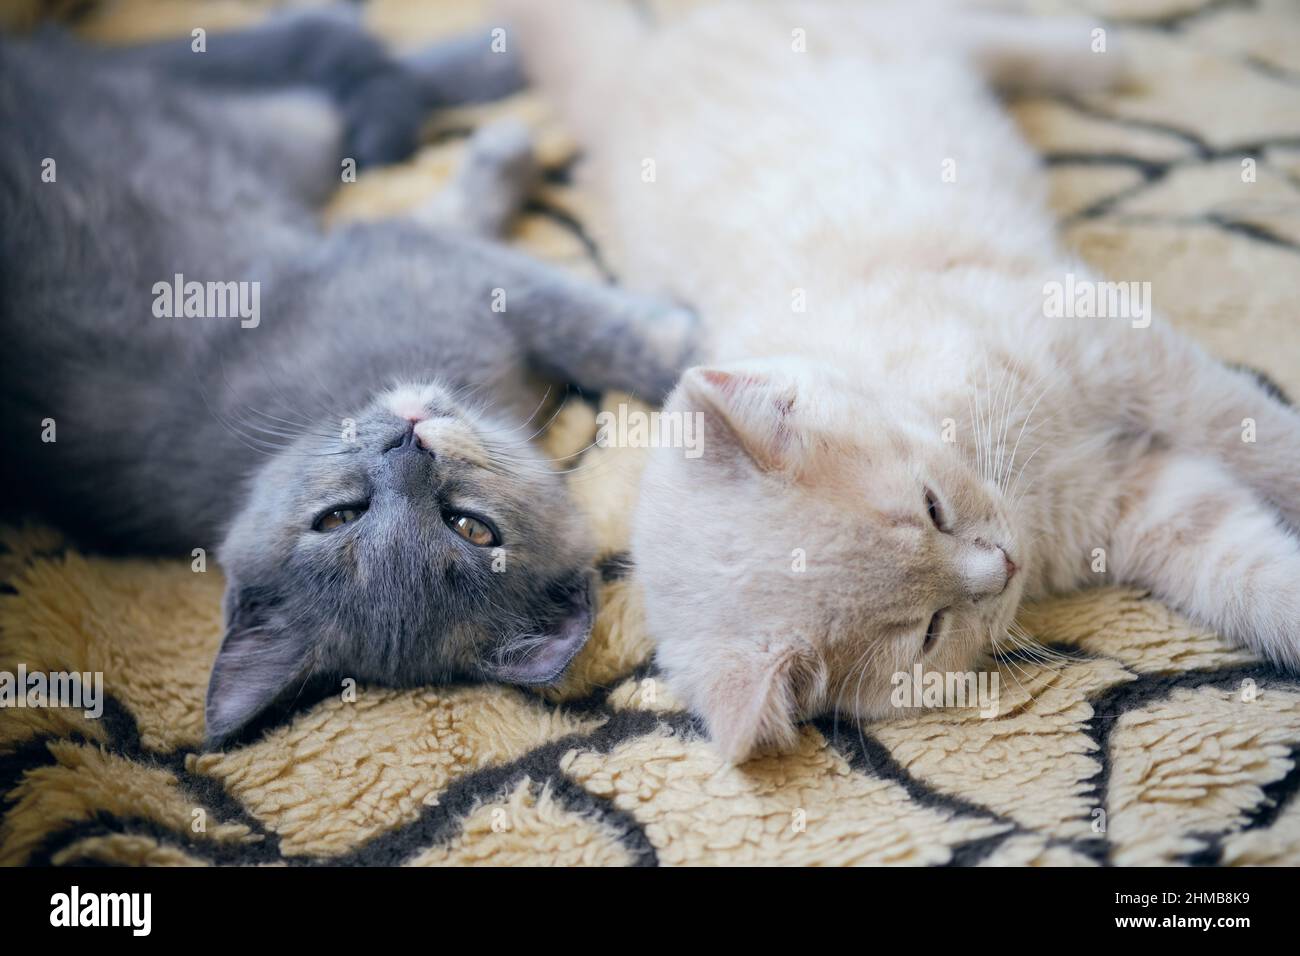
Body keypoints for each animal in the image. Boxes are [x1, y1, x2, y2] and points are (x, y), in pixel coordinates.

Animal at [0, 13, 696, 749]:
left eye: (471, 526)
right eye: (338, 518)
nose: (408, 444)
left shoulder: (434, 261)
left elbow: (579, 318)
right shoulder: (422, 257)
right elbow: (592, 322)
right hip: (282, 132)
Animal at [512, 1, 1300, 764]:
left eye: (931, 507)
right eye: (929, 629)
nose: (1003, 565)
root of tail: (635, 77)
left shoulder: (1112, 346)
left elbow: (1252, 432)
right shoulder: (1132, 500)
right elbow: (1244, 569)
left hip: (896, 30)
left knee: (986, 32)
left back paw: (1096, 52)